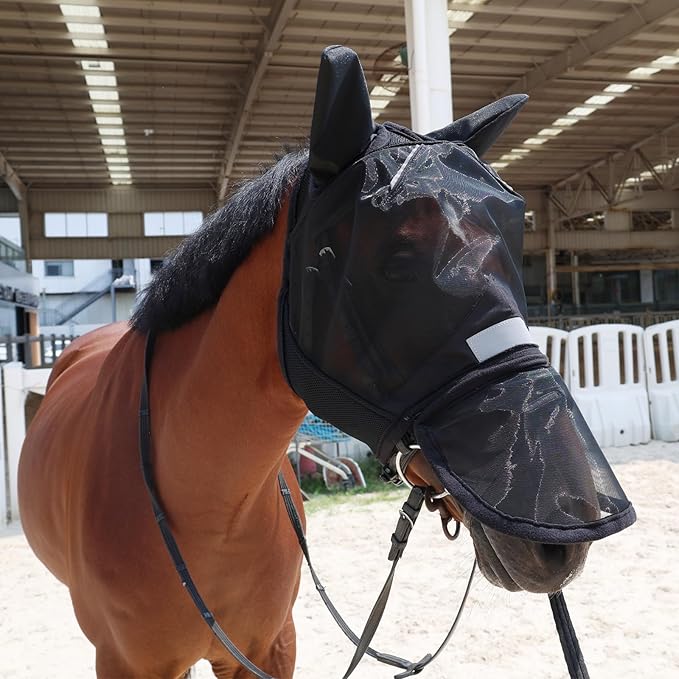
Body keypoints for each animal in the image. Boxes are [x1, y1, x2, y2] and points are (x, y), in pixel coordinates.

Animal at [18, 46, 634, 678]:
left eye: (513, 247)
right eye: (395, 259)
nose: (567, 518)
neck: (208, 509)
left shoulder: (270, 647)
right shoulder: (127, 663)